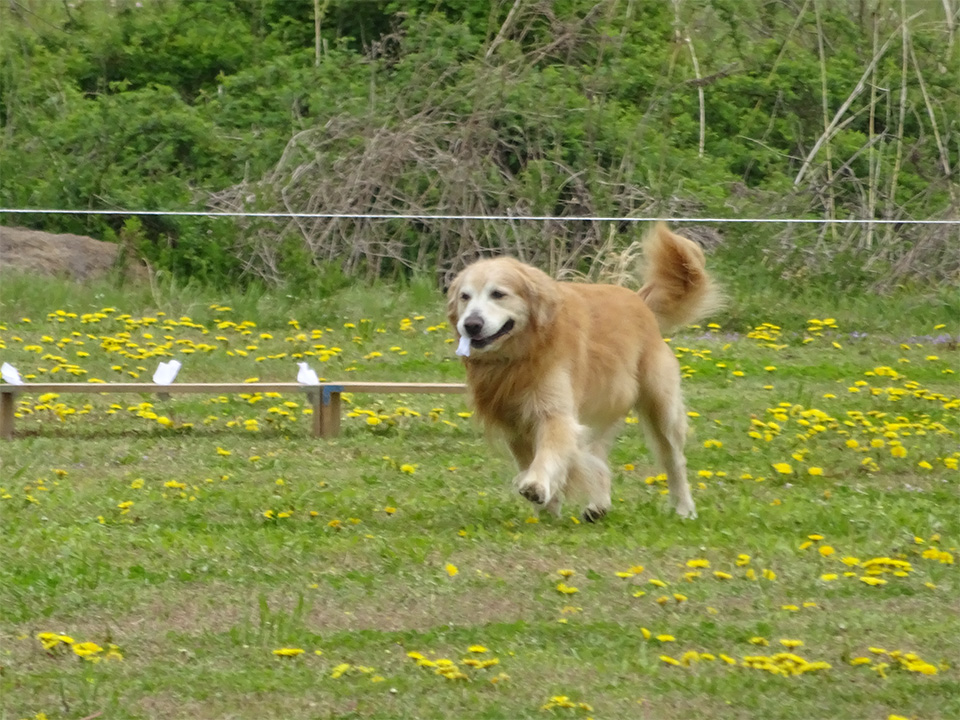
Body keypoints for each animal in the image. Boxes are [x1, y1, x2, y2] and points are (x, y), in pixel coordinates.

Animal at [448, 222, 720, 520]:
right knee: (596, 456)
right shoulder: (515, 424)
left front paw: (537, 485)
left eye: (498, 294)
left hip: (661, 404)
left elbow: (548, 452)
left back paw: (684, 508)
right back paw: (598, 504)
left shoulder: (555, 412)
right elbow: (534, 459)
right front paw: (548, 507)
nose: (470, 324)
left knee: (673, 459)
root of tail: (639, 301)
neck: (523, 353)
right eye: (464, 297)